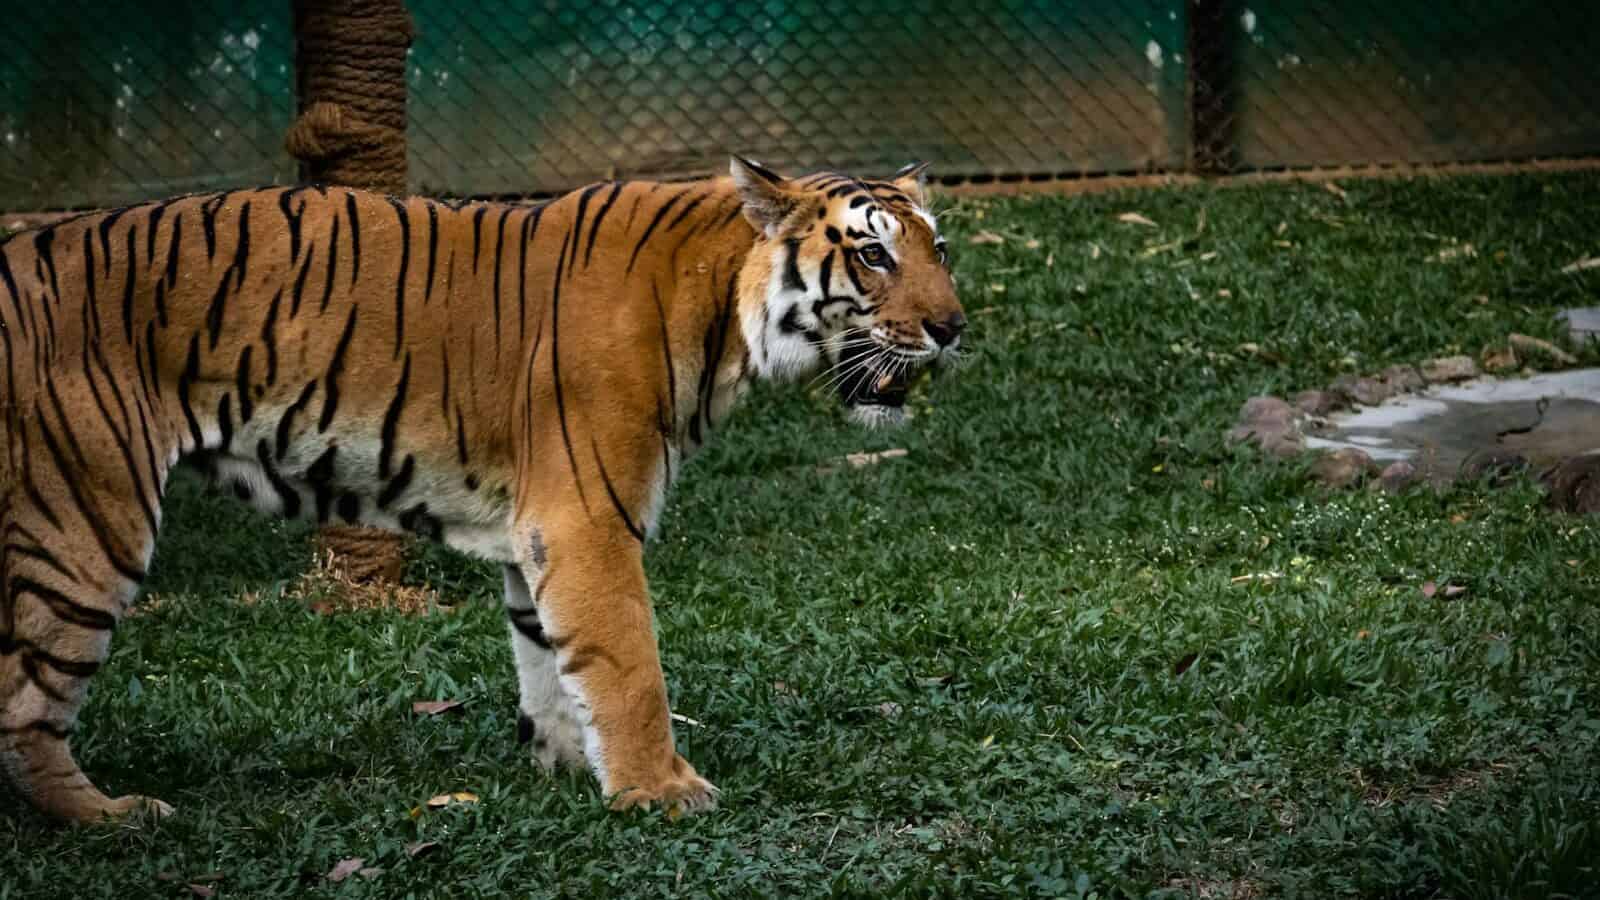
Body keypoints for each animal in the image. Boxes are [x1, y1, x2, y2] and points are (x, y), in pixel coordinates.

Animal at [0, 156, 966, 821]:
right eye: (874, 254)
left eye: (939, 250)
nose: (954, 328)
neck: (725, 309)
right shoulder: (588, 520)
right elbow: (627, 666)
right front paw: (660, 791)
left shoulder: (539, 534)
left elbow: (552, 664)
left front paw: (571, 771)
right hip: (85, 519)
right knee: (26, 703)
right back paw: (111, 818)